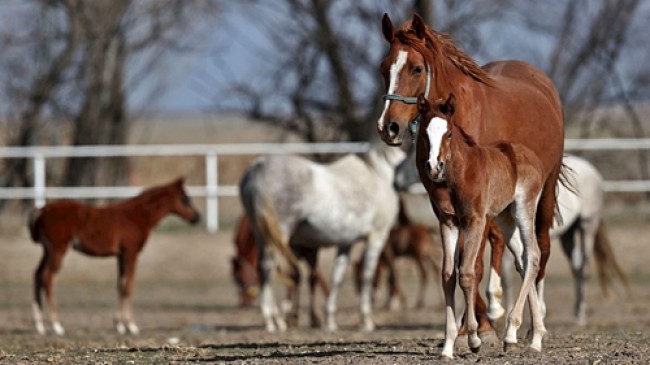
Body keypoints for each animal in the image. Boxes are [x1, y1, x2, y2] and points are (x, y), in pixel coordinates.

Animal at [28, 178, 200, 334]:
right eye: (185, 199)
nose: (197, 217)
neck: (136, 215)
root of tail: (42, 210)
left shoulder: (120, 256)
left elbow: (120, 285)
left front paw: (119, 325)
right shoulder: (131, 252)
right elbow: (129, 286)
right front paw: (131, 325)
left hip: (47, 251)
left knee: (37, 275)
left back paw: (40, 325)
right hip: (58, 249)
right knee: (47, 278)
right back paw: (56, 325)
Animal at [416, 94, 548, 356]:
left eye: (448, 134)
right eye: (425, 133)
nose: (434, 167)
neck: (461, 173)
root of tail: (532, 157)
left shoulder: (474, 221)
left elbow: (467, 273)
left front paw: (474, 339)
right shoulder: (448, 222)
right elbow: (448, 275)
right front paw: (447, 347)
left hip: (524, 208)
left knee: (534, 256)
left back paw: (516, 333)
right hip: (505, 218)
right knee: (522, 260)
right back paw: (530, 337)